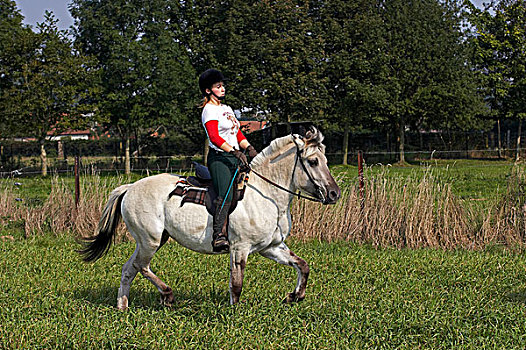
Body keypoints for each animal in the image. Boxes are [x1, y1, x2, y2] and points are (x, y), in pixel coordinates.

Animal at [79, 128, 342, 308]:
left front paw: (294, 296)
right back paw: (167, 295)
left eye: (325, 160)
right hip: (150, 240)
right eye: (313, 161)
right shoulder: (240, 248)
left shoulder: (271, 247)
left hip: (152, 240)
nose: (334, 193)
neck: (266, 195)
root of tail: (130, 187)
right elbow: (236, 285)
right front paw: (235, 313)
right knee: (141, 266)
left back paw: (122, 307)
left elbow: (303, 265)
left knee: (129, 269)